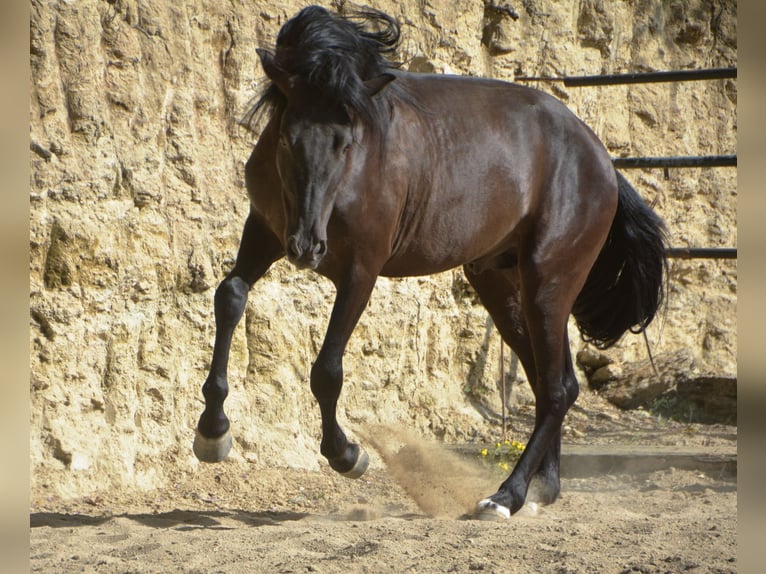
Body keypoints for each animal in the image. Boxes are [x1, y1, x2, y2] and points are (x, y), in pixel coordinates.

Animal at [195, 5, 668, 520]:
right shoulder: (264, 231)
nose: (306, 248)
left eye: (346, 143)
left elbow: (327, 369)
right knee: (553, 380)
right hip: (505, 285)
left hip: (548, 281)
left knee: (557, 389)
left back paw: (505, 496)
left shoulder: (360, 270)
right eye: (286, 138)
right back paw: (542, 490)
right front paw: (211, 433)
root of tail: (602, 160)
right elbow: (230, 296)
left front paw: (348, 455)